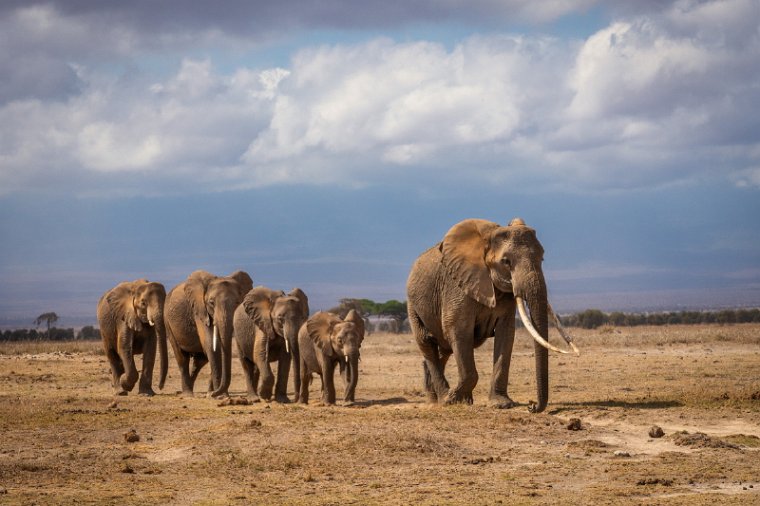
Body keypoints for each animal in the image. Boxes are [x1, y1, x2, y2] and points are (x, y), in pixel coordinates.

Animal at [164, 270, 252, 398]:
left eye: (237, 302)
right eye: (211, 303)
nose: (214, 393)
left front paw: (212, 394)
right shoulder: (200, 310)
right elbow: (211, 346)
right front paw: (220, 396)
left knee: (200, 361)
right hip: (167, 321)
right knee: (182, 358)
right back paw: (188, 394)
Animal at [410, 216, 576, 412]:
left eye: (541, 258)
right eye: (506, 262)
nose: (532, 405)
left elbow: (506, 334)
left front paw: (502, 404)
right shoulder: (457, 286)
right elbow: (458, 331)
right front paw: (452, 400)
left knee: (445, 349)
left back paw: (448, 398)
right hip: (413, 305)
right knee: (427, 342)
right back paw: (443, 399)